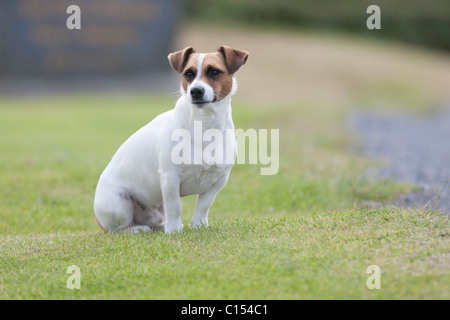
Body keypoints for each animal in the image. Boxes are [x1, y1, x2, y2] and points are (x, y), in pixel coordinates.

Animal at [94, 45, 250, 234]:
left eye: (214, 71)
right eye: (188, 73)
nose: (196, 91)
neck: (204, 126)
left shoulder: (219, 180)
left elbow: (203, 205)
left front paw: (199, 225)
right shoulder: (170, 178)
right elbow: (175, 206)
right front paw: (175, 230)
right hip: (119, 203)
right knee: (117, 229)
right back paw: (138, 229)